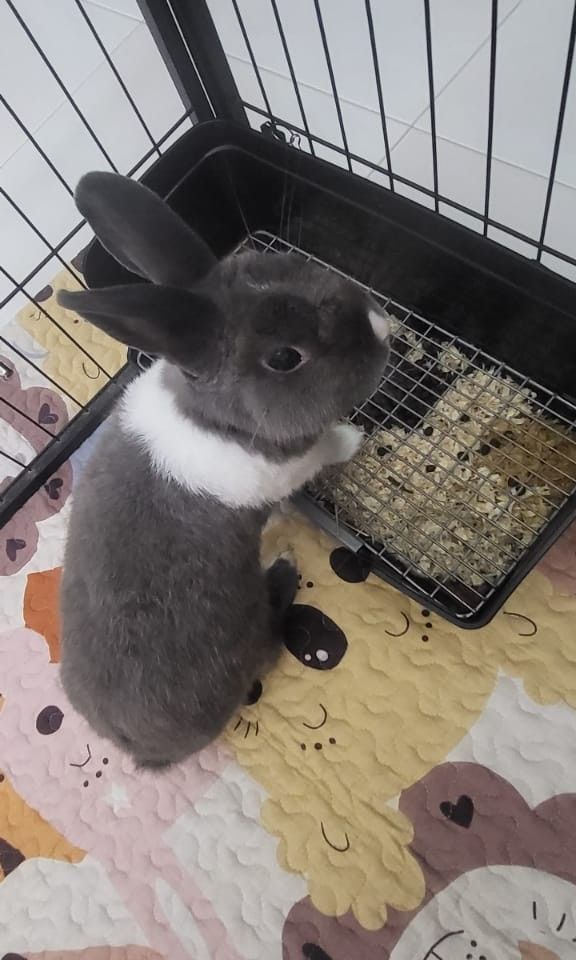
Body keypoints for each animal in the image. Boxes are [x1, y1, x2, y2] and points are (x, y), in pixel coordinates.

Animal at [57, 171, 390, 770]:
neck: (214, 420)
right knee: (271, 637)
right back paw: (284, 567)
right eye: (285, 358)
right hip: (249, 628)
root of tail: (144, 753)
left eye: (280, 259)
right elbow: (325, 449)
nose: (382, 326)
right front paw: (353, 438)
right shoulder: (290, 466)